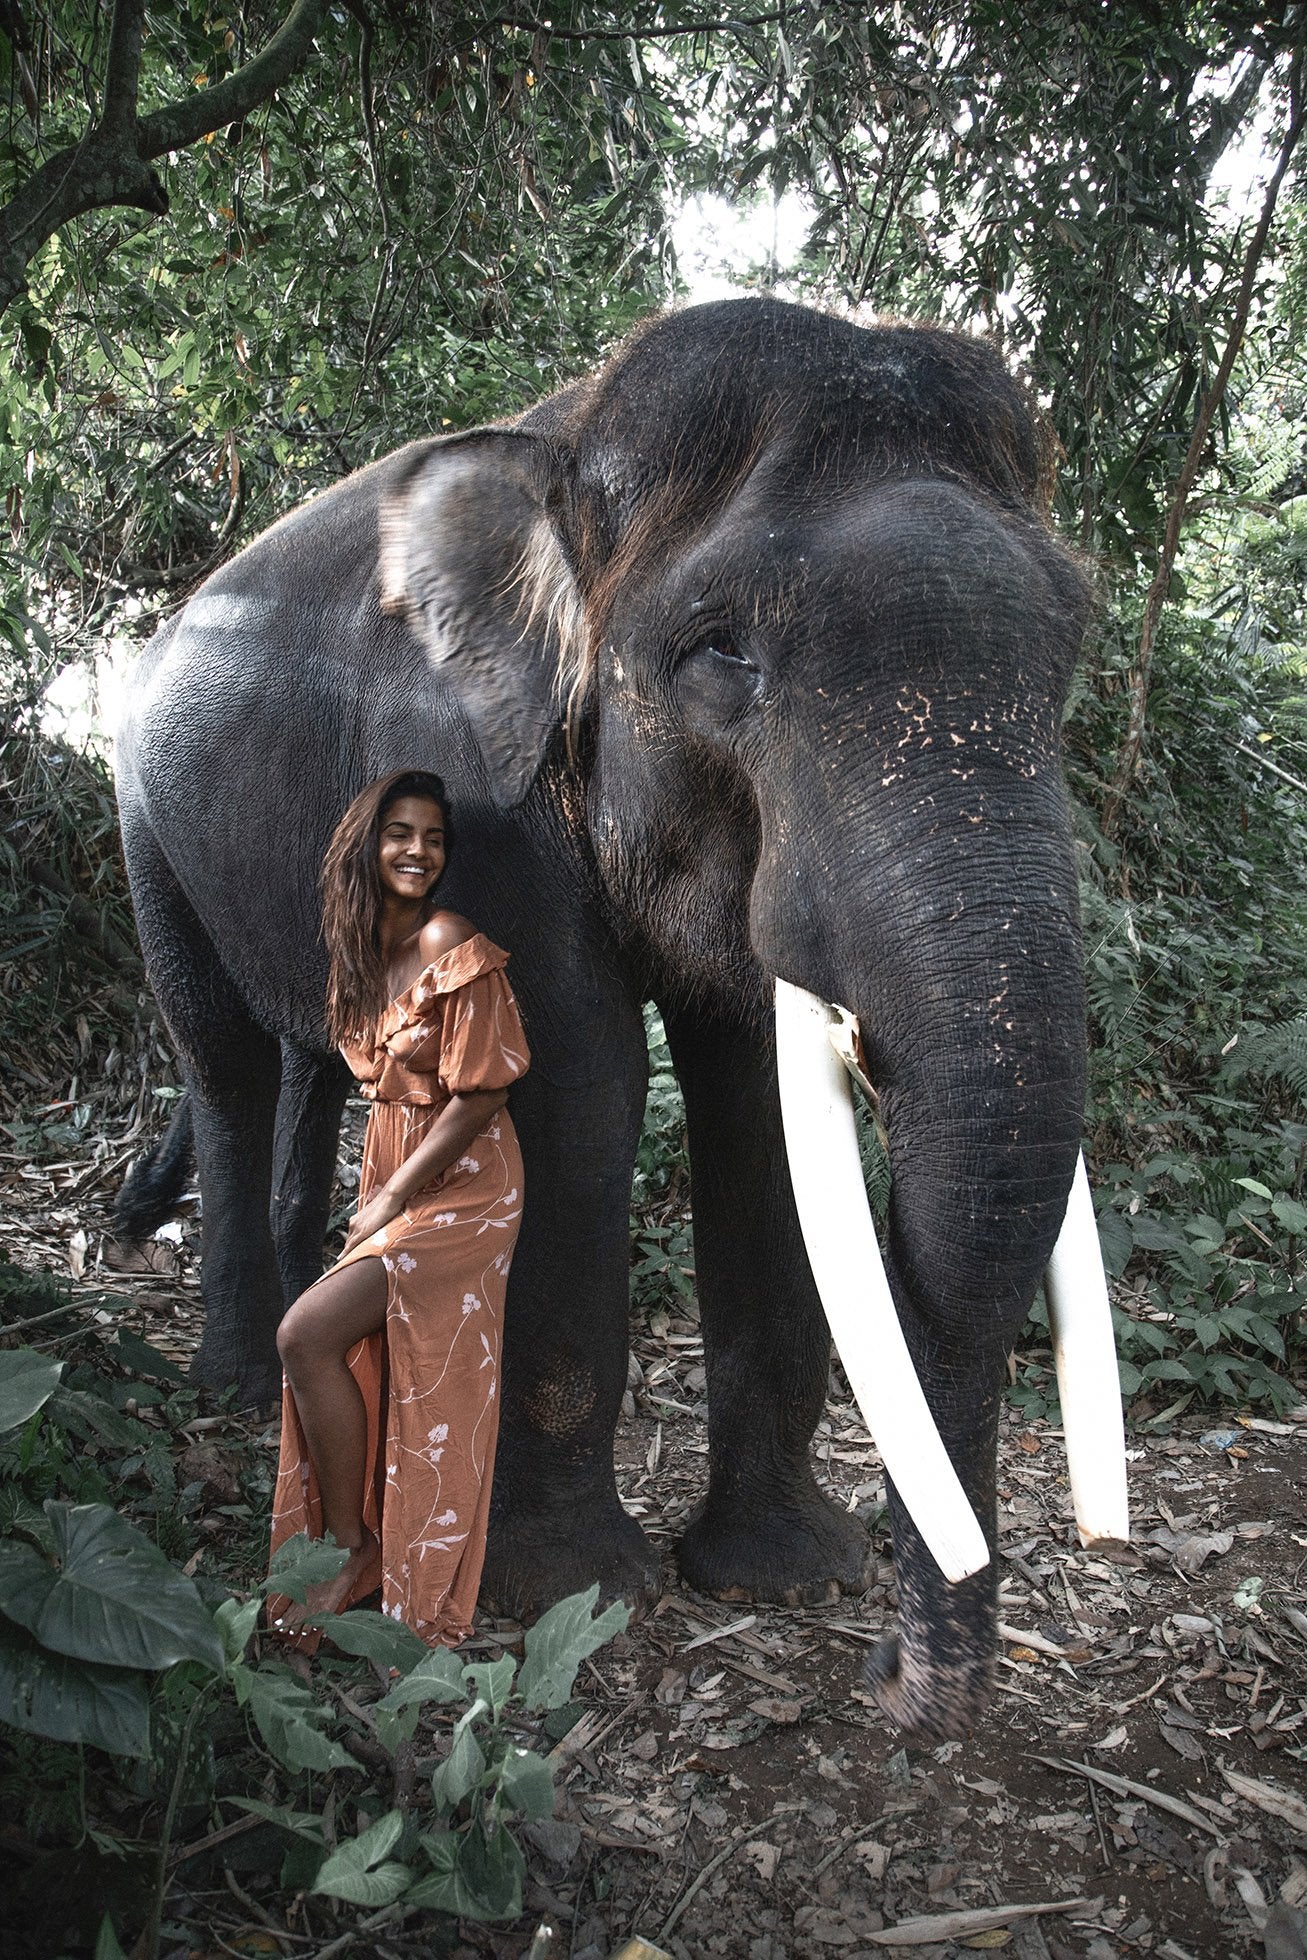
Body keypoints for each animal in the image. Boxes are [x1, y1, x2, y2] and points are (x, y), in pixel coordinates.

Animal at [117, 290, 1128, 1732]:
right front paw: (571, 1592)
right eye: (720, 650)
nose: (890, 1675)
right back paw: (243, 1382)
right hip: (144, 816)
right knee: (227, 1061)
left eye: (1069, 646)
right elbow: (575, 1090)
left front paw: (778, 1576)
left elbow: (752, 1112)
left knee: (312, 1056)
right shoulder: (474, 796)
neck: (571, 445)